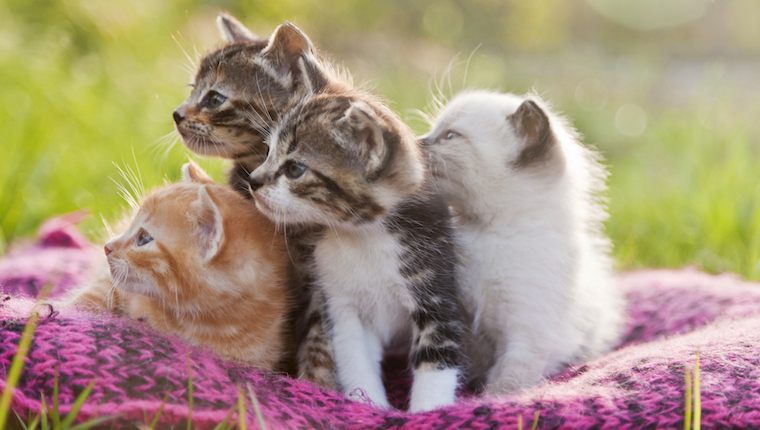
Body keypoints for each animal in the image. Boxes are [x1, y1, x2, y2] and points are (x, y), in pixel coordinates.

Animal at [249, 91, 464, 414]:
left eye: (295, 169)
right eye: (267, 151)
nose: (253, 180)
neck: (364, 236)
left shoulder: (436, 293)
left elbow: (436, 361)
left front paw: (429, 411)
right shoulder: (341, 305)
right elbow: (354, 358)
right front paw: (367, 406)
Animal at [422, 90, 624, 394]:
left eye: (450, 136)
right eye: (433, 132)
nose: (416, 142)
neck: (488, 233)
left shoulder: (527, 332)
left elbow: (510, 379)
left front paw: (490, 398)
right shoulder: (461, 315)